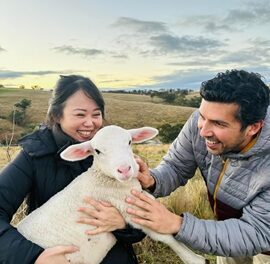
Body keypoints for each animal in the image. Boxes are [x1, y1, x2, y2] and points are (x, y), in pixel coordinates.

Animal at [17, 125, 207, 264]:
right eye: (97, 151)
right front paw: (194, 259)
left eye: (129, 142)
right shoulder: (131, 208)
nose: (124, 169)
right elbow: (165, 237)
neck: (104, 179)